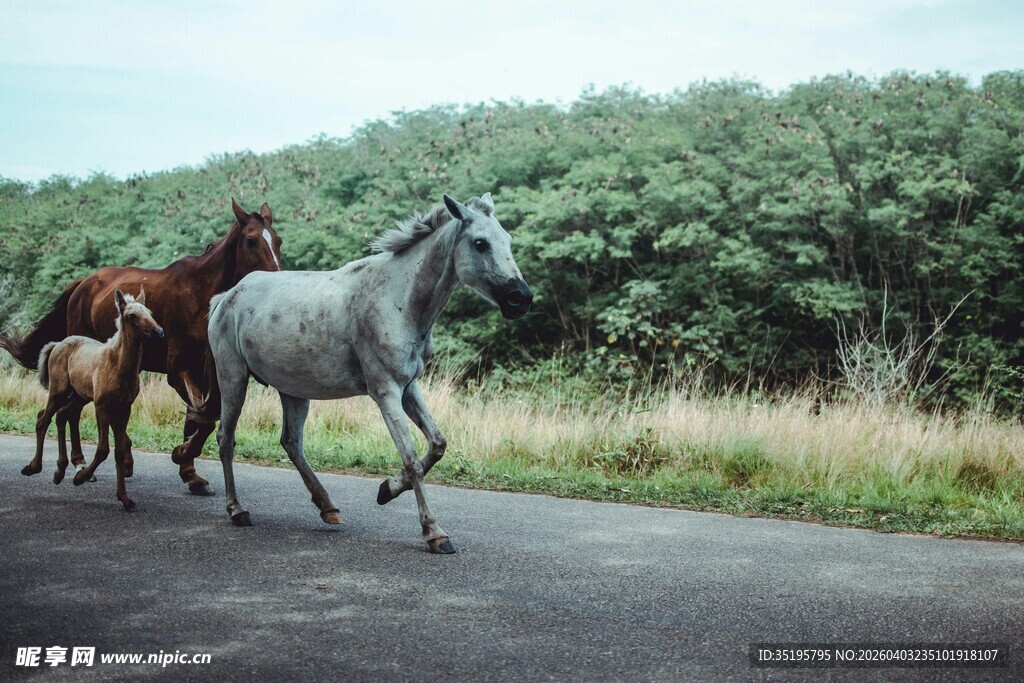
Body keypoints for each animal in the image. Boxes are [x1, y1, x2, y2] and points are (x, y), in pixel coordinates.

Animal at [22, 289, 164, 511]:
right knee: (43, 420)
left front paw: (125, 498)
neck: (119, 367)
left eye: (149, 312)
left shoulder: (125, 408)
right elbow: (103, 449)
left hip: (78, 395)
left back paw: (59, 471)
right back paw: (33, 467)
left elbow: (119, 451)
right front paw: (80, 477)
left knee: (60, 415)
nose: (158, 332)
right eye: (131, 316)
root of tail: (57, 344)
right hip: (59, 391)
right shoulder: (102, 406)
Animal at [206, 193, 533, 553]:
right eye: (480, 243)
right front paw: (434, 532)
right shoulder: (385, 391)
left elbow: (437, 444)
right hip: (233, 379)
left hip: (292, 389)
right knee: (226, 439)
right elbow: (411, 459)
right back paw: (237, 510)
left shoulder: (408, 388)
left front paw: (387, 490)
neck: (398, 299)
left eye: (508, 240)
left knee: (292, 443)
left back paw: (328, 508)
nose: (521, 298)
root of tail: (226, 297)